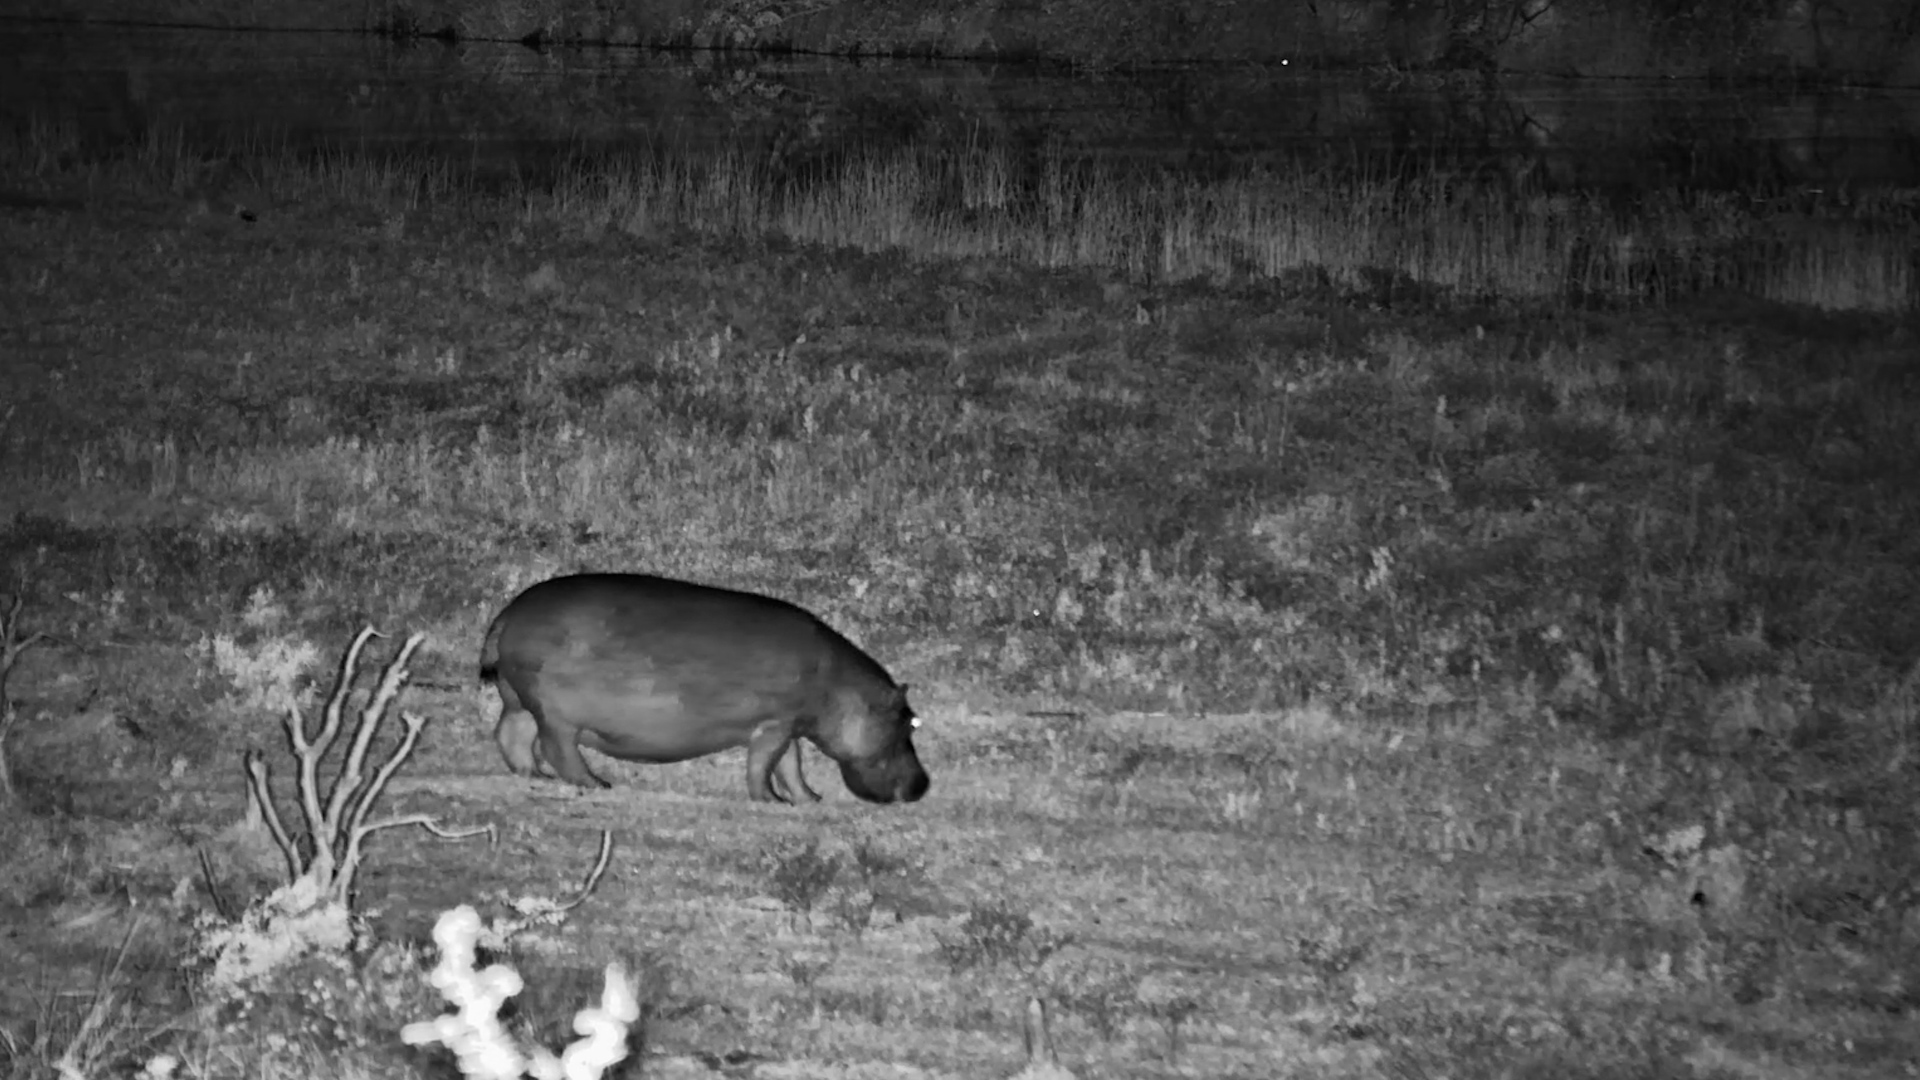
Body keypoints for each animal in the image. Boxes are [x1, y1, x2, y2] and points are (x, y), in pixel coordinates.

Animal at [478, 573, 929, 804]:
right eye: (908, 723)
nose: (923, 784)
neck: (841, 690)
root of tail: (507, 614)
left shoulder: (789, 726)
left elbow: (791, 766)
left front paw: (810, 798)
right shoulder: (776, 724)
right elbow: (763, 765)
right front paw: (771, 800)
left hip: (520, 700)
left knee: (511, 735)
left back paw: (535, 776)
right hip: (555, 712)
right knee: (557, 748)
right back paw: (597, 784)